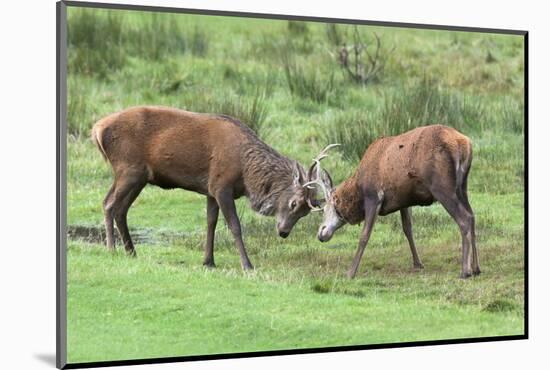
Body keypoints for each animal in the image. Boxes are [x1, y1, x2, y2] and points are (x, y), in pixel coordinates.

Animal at [90, 105, 324, 270]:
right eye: (293, 203)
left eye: (305, 213)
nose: (283, 232)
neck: (245, 171)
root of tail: (97, 129)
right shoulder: (222, 186)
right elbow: (234, 225)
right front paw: (247, 265)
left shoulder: (211, 189)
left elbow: (210, 222)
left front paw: (208, 261)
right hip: (128, 169)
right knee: (109, 203)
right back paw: (111, 249)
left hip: (138, 177)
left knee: (121, 208)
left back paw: (131, 251)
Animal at [308, 124, 480, 278]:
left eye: (325, 209)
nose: (320, 233)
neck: (358, 188)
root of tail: (463, 144)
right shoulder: (403, 200)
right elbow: (408, 229)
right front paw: (418, 263)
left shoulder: (374, 196)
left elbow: (364, 235)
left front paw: (350, 272)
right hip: (462, 186)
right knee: (472, 216)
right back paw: (476, 268)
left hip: (442, 187)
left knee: (464, 218)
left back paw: (465, 271)